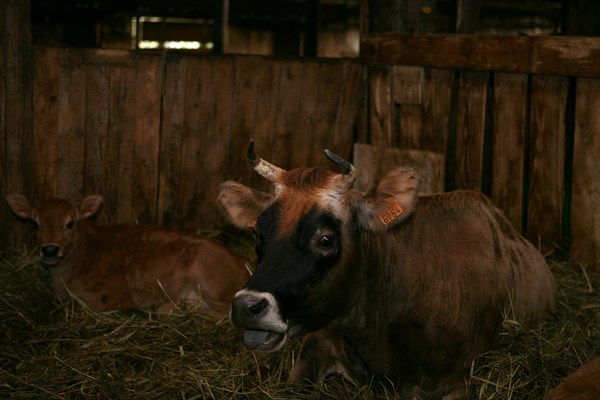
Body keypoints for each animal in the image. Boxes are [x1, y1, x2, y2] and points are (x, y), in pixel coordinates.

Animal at [6, 194, 251, 318]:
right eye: (35, 224)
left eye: (70, 223)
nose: (50, 249)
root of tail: (246, 264)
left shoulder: (107, 292)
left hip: (208, 277)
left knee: (224, 314)